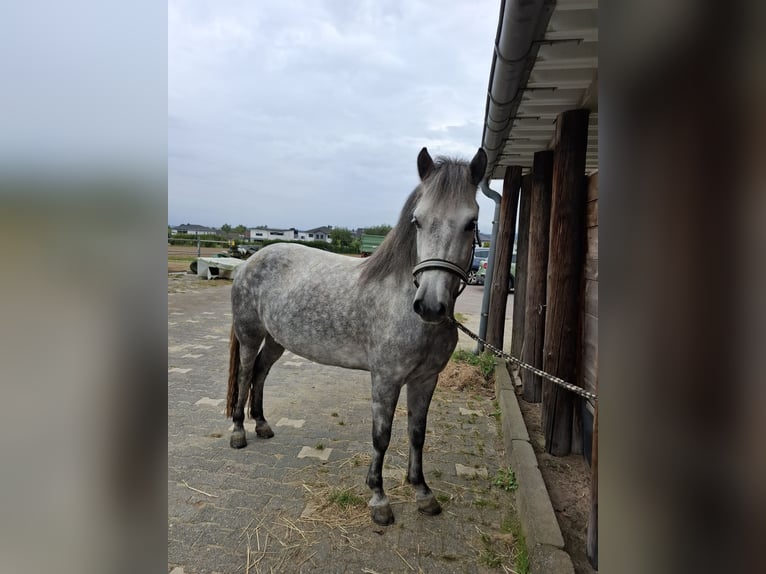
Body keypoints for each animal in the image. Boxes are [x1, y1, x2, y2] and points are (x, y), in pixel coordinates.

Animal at [226, 147, 487, 525]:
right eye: (417, 221)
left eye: (471, 223)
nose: (430, 305)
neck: (402, 300)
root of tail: (249, 261)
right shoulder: (386, 378)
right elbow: (382, 436)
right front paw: (378, 498)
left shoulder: (426, 379)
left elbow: (417, 433)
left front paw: (422, 492)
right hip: (249, 334)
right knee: (246, 374)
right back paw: (238, 432)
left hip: (276, 340)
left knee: (260, 372)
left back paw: (261, 424)